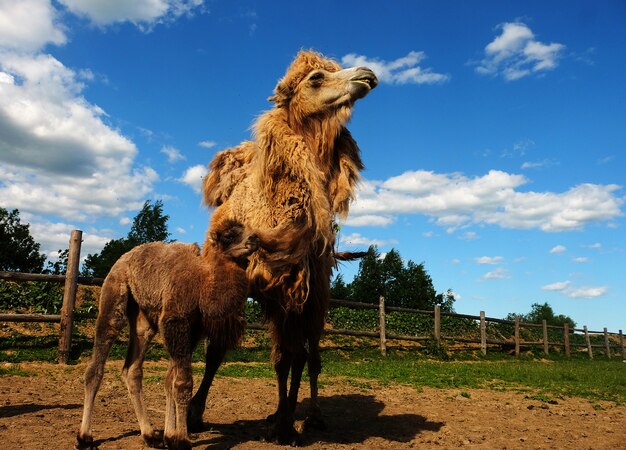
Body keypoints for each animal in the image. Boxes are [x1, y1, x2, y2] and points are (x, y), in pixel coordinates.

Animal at [77, 219, 264, 450]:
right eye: (229, 236)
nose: (254, 238)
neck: (202, 285)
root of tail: (123, 258)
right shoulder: (176, 321)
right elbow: (183, 383)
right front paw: (182, 439)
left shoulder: (193, 331)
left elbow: (170, 381)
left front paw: (170, 436)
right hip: (115, 293)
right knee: (100, 355)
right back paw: (85, 437)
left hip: (144, 318)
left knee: (132, 368)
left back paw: (150, 435)